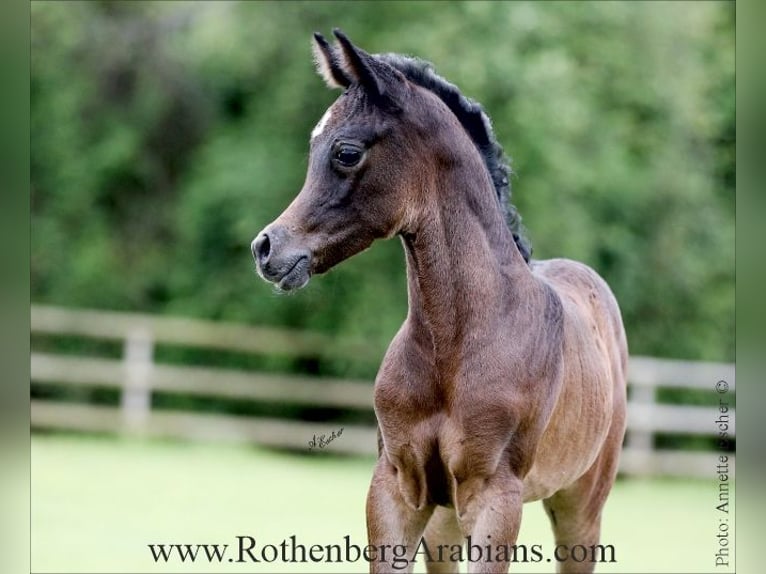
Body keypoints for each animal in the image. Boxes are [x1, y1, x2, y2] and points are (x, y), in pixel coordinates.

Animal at [252, 29, 627, 574]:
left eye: (346, 152)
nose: (266, 249)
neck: (456, 343)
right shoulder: (397, 489)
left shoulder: (496, 499)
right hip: (445, 520)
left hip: (581, 505)